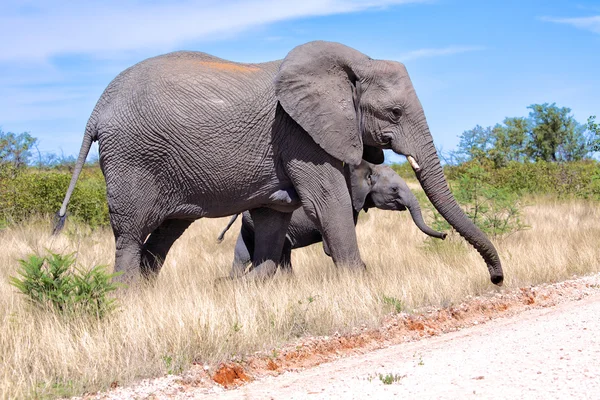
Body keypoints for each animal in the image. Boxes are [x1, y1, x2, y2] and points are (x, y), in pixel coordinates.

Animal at [218, 159, 448, 276]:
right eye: (393, 189)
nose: (445, 234)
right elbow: (330, 247)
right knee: (280, 254)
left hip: (248, 225)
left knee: (242, 255)